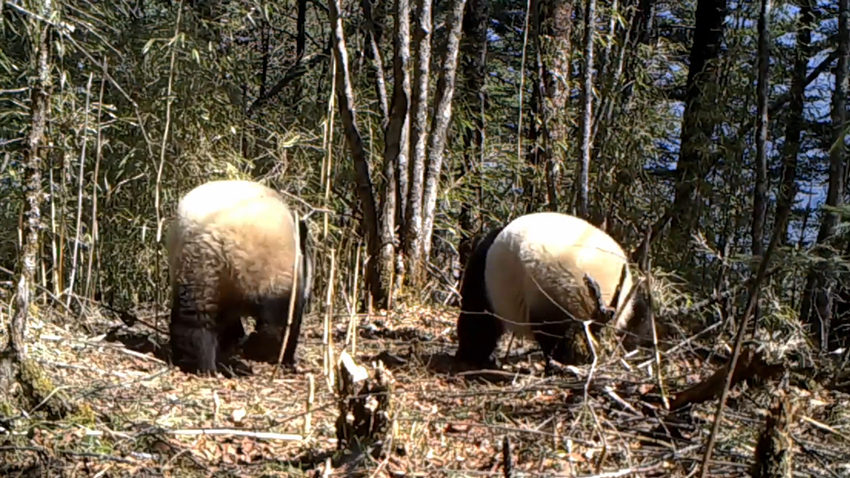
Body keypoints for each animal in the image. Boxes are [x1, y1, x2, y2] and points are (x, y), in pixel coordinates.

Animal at [164, 178, 314, 374]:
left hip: (195, 268)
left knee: (194, 315)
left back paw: (194, 361)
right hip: (259, 264)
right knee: (275, 322)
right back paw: (256, 351)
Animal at [454, 212, 640, 370]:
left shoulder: (484, 280)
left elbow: (479, 318)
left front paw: (473, 355)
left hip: (558, 288)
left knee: (554, 334)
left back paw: (560, 363)